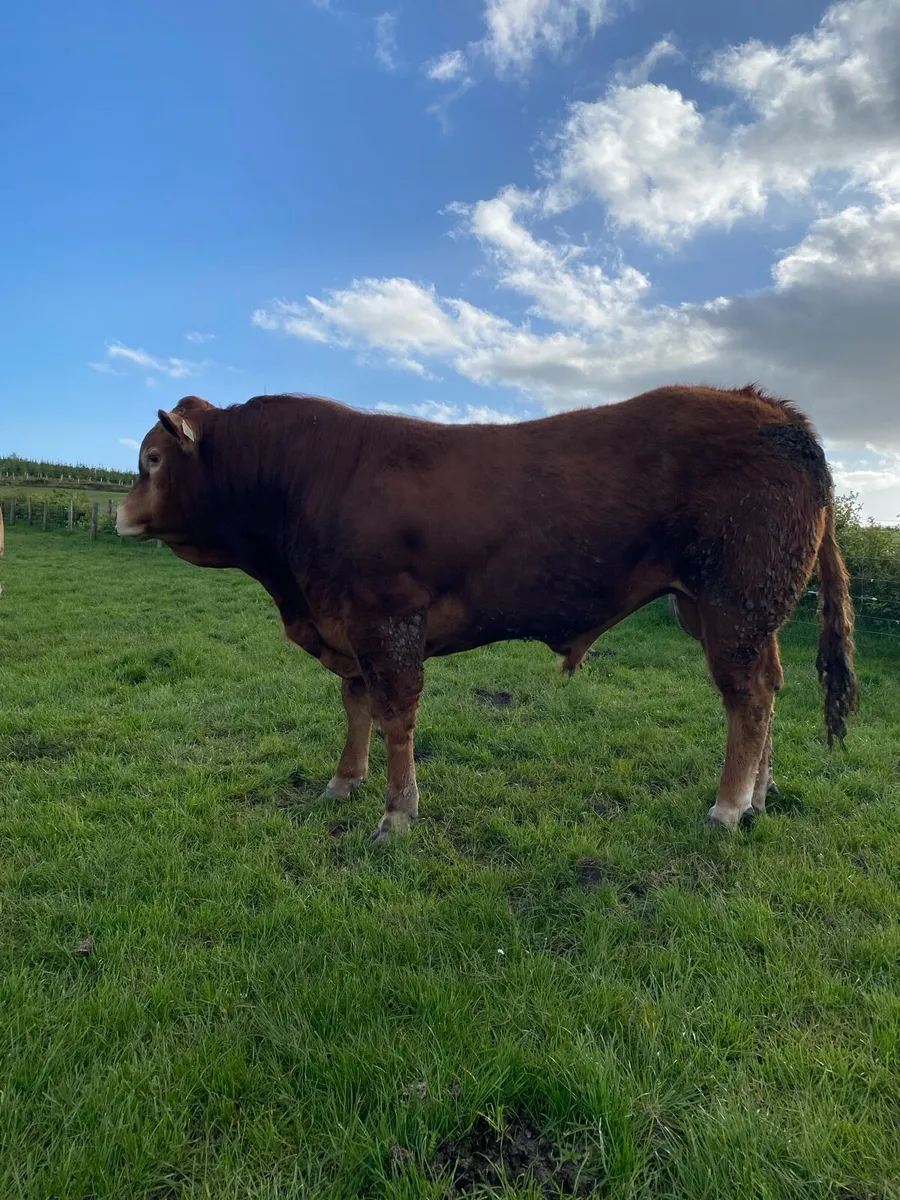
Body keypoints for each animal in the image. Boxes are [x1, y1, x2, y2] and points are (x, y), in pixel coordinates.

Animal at [116, 384, 858, 841]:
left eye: (152, 458)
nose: (121, 514)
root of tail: (772, 409)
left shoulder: (387, 622)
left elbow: (395, 715)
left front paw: (396, 814)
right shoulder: (344, 626)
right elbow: (356, 706)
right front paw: (343, 782)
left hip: (735, 602)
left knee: (748, 698)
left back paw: (728, 808)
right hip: (722, 609)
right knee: (768, 690)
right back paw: (759, 797)